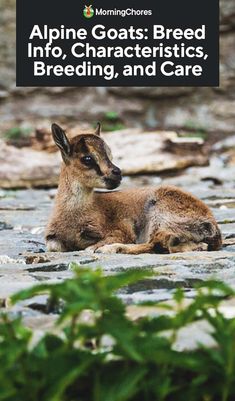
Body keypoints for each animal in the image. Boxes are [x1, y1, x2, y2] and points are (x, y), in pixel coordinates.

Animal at [45, 122, 222, 253]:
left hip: (159, 215)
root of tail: (212, 227)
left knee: (158, 243)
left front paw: (103, 248)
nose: (117, 173)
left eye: (110, 155)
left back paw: (112, 249)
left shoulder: (121, 231)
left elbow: (90, 248)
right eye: (87, 158)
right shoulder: (53, 241)